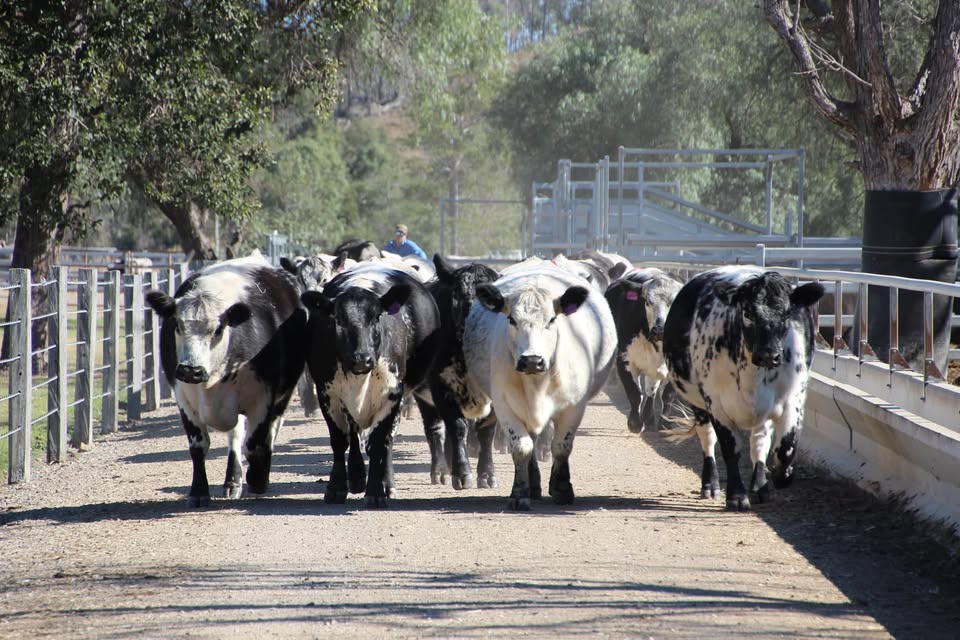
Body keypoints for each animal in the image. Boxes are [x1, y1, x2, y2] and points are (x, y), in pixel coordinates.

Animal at [145, 252, 308, 508]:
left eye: (219, 328)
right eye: (178, 325)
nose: (191, 370)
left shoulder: (263, 398)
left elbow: (256, 444)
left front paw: (258, 479)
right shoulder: (184, 397)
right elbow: (199, 446)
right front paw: (199, 491)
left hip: (282, 394)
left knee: (267, 433)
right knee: (236, 437)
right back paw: (232, 480)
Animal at [302, 262, 440, 508]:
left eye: (376, 317)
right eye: (338, 319)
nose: (361, 358)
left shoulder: (391, 395)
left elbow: (377, 444)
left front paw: (376, 491)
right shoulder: (328, 394)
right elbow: (340, 440)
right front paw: (336, 487)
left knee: (386, 442)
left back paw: (387, 483)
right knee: (354, 435)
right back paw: (357, 476)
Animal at [604, 268, 688, 432]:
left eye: (675, 301)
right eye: (648, 301)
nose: (659, 329)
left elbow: (667, 395)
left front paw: (665, 423)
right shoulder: (624, 360)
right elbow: (635, 393)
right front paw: (635, 423)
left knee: (651, 390)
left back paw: (649, 417)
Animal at [660, 264, 824, 510]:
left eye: (786, 314)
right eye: (747, 313)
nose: (768, 355)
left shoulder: (793, 398)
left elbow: (786, 446)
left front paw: (781, 476)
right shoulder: (716, 403)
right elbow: (730, 448)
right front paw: (736, 496)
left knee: (759, 442)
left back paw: (760, 487)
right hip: (698, 402)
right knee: (707, 438)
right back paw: (710, 485)